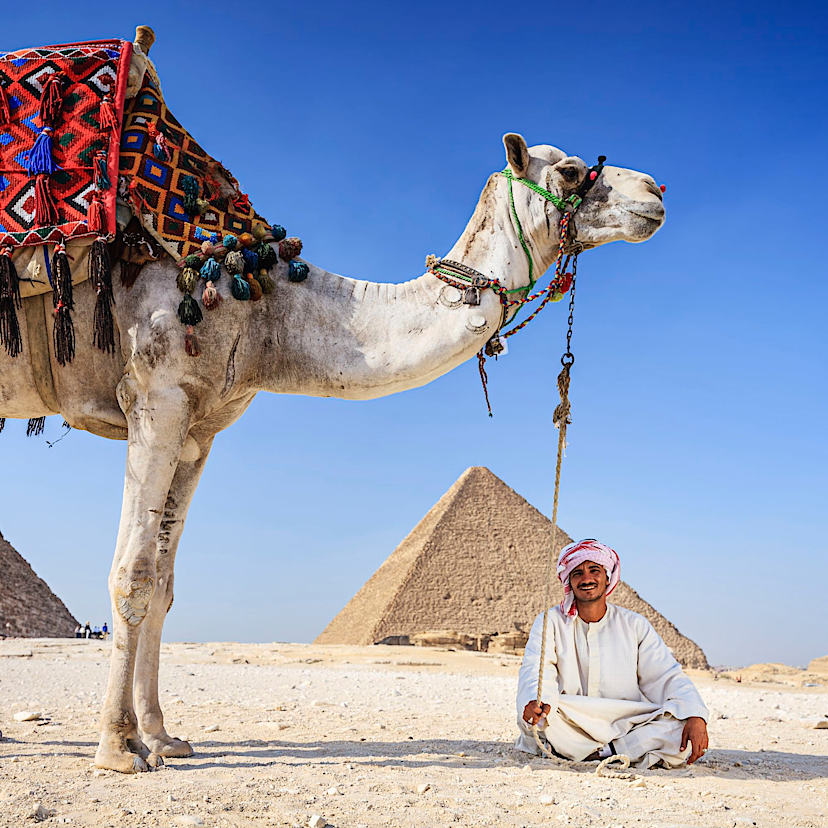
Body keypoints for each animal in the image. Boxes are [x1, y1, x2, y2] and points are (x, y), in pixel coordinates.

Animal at [0, 31, 665, 773]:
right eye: (574, 171)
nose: (656, 191)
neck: (259, 298)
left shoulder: (201, 428)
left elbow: (166, 584)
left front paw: (164, 737)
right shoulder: (157, 394)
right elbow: (134, 574)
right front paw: (118, 747)